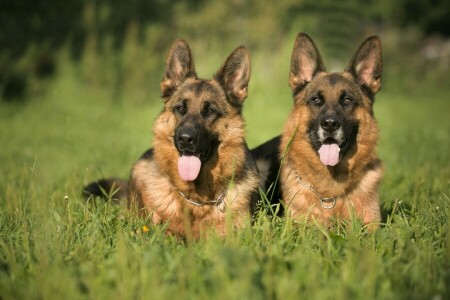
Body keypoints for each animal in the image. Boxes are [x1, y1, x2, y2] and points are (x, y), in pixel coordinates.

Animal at [251, 32, 382, 229]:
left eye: (347, 100)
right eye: (316, 100)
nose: (330, 124)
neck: (330, 194)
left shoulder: (372, 225)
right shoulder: (297, 226)